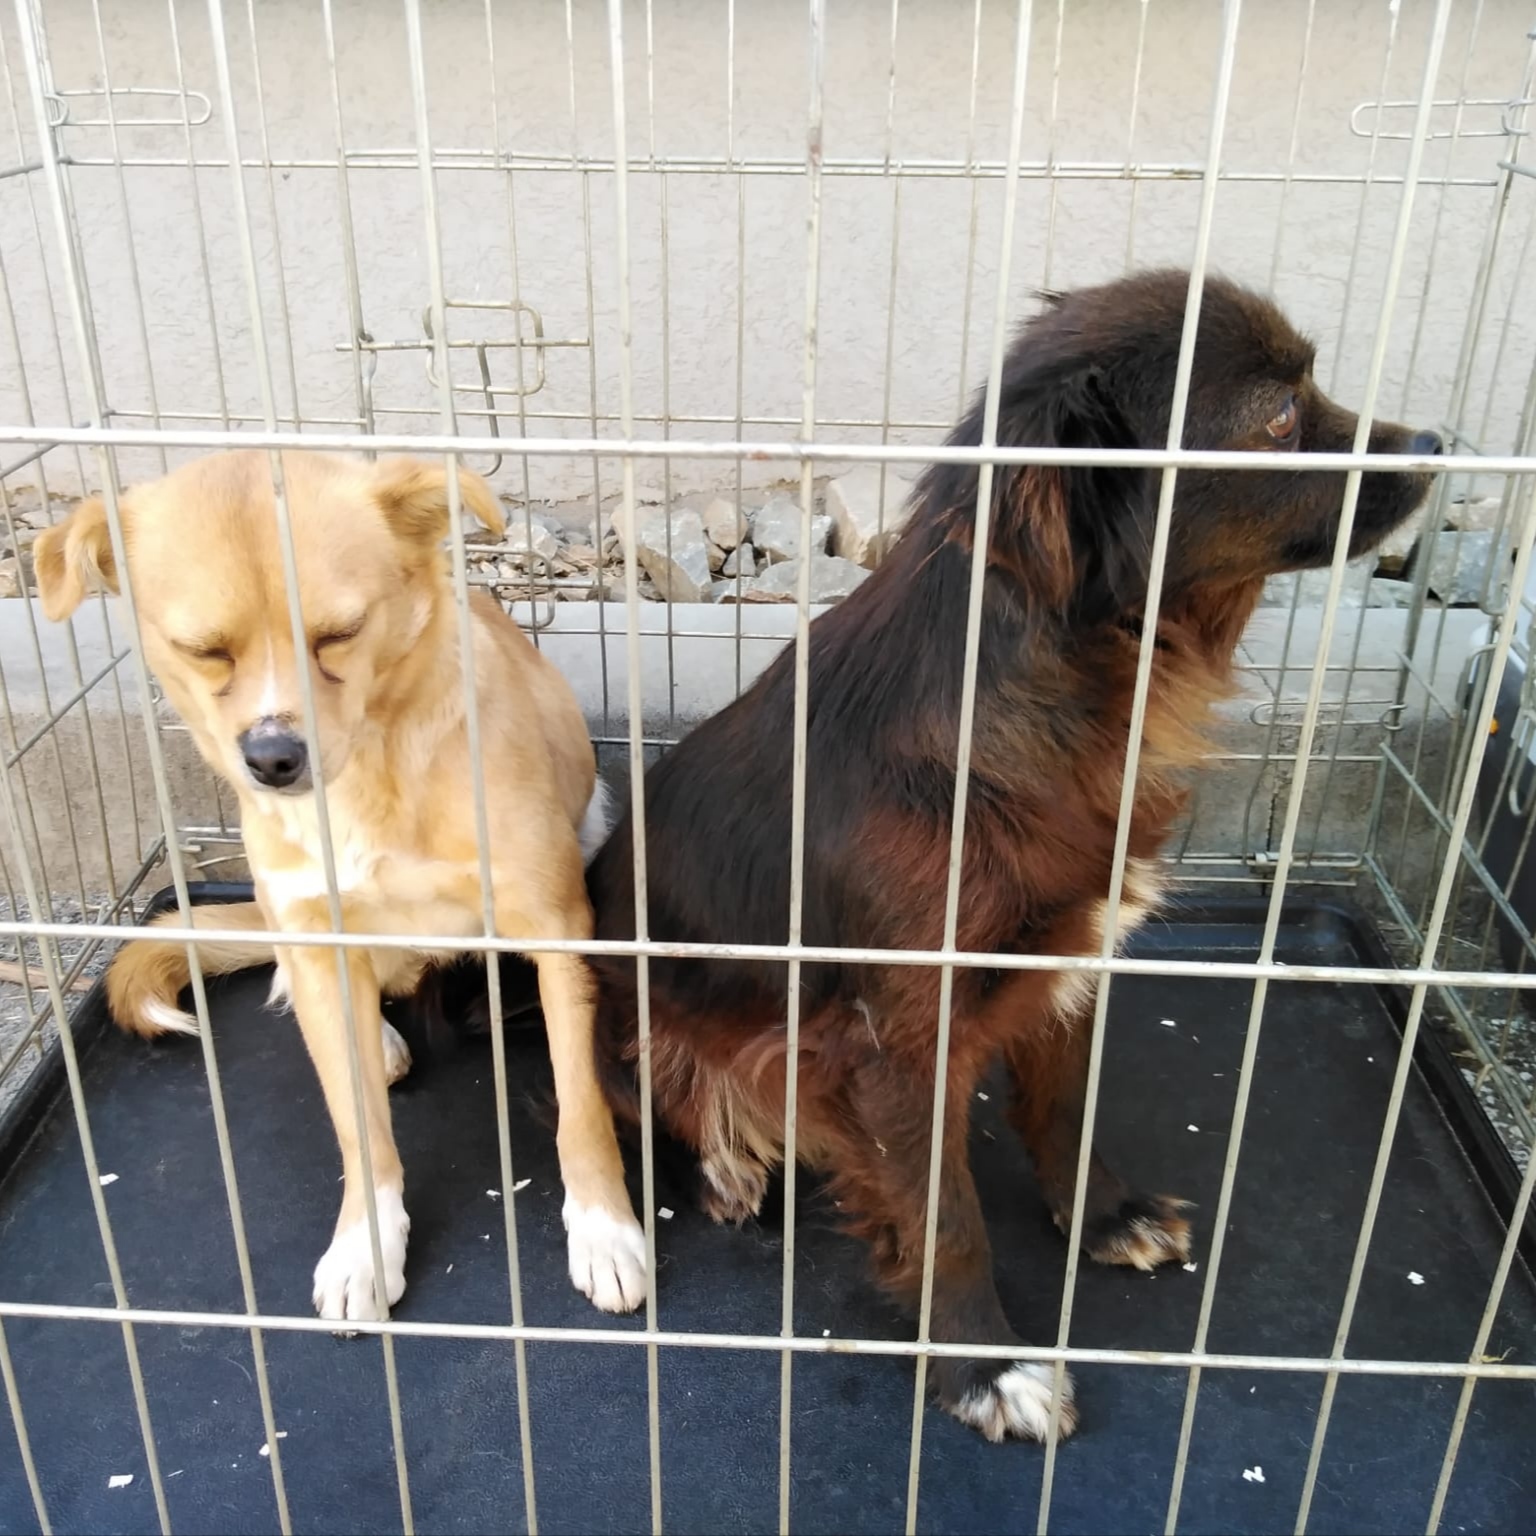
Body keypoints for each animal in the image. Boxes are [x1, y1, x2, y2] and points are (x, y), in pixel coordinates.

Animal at [34, 450, 647, 1323]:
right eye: (203, 650)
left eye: (339, 634)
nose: (273, 759)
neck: (372, 773)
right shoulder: (319, 934)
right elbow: (359, 1130)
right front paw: (365, 1243)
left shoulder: (561, 926)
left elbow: (583, 1102)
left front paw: (604, 1229)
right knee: (319, 991)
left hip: (592, 823)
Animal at [580, 271, 1440, 1439]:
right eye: (1277, 417)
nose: (1440, 442)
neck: (1075, 699)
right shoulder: (899, 1041)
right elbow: (946, 1218)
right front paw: (985, 1365)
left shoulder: (1071, 957)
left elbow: (1065, 1108)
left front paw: (1106, 1213)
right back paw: (725, 1160)